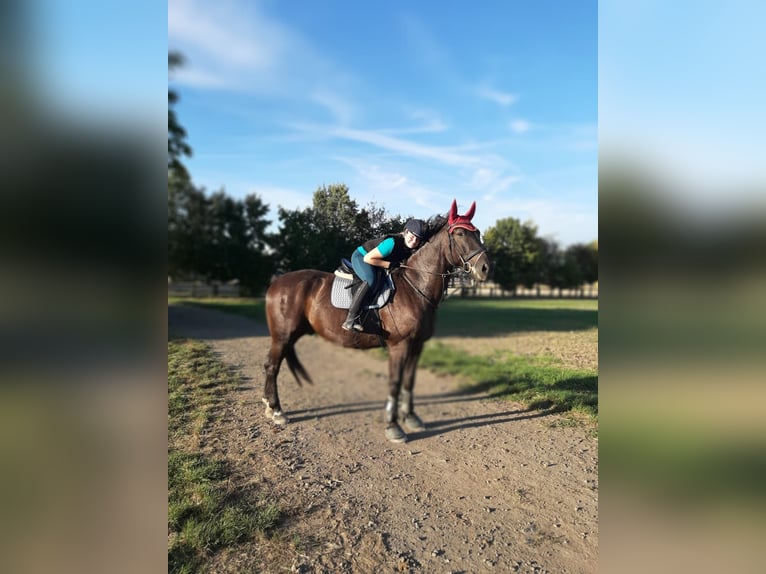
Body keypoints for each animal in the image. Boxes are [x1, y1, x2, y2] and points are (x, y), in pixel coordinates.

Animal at [264, 200, 492, 444]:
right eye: (459, 233)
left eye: (478, 232)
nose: (485, 268)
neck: (415, 286)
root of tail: (275, 283)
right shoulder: (399, 346)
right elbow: (394, 383)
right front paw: (393, 427)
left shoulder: (417, 345)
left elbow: (409, 381)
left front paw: (411, 418)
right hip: (282, 336)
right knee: (272, 366)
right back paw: (277, 411)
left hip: (290, 335)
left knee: (272, 365)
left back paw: (270, 407)